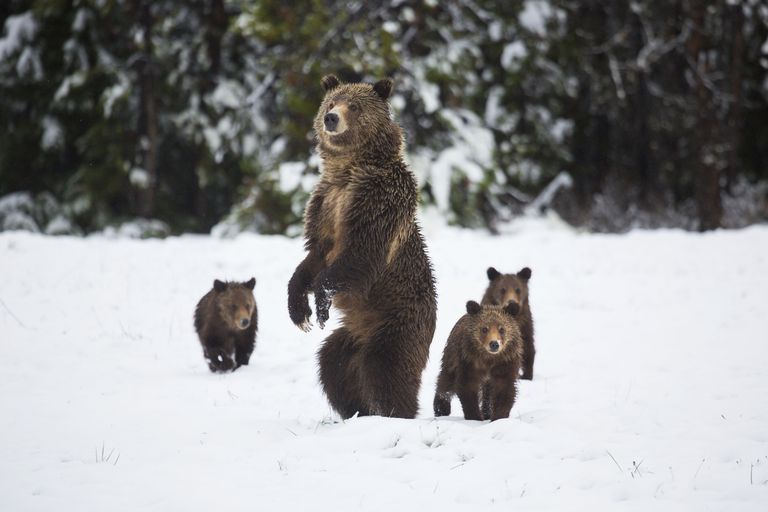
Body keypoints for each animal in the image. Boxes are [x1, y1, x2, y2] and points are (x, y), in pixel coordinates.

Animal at [286, 76, 436, 420]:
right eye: (331, 102)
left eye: (354, 106)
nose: (331, 119)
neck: (348, 170)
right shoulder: (325, 204)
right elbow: (313, 257)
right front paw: (300, 312)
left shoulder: (376, 201)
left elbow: (360, 253)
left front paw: (321, 302)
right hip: (351, 334)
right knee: (333, 366)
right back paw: (356, 411)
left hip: (396, 323)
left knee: (386, 369)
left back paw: (395, 413)